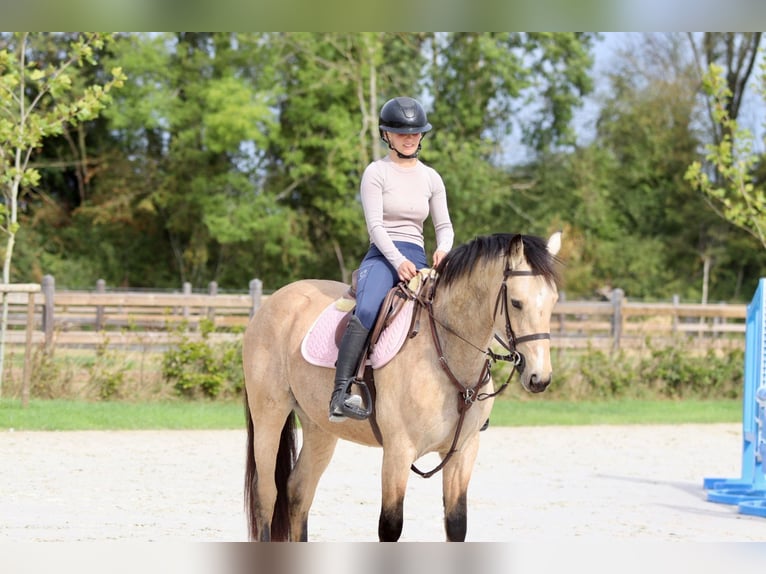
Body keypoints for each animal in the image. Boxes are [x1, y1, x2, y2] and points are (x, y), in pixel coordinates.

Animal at [243, 231, 562, 542]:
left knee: (299, 492)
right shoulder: (398, 452)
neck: (446, 353)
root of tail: (273, 301)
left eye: (554, 301)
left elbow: (456, 525)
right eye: (516, 302)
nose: (540, 377)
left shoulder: (463, 453)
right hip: (270, 416)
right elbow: (390, 527)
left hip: (320, 427)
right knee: (266, 495)